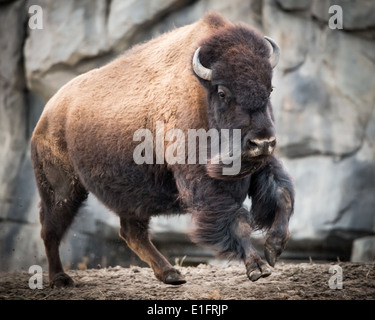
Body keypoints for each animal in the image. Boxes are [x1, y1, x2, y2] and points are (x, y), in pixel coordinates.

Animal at [31, 11, 294, 288]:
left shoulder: (263, 166)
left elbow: (283, 196)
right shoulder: (205, 183)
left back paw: (170, 273)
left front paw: (274, 248)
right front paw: (258, 268)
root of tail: (47, 113)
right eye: (222, 92)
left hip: (129, 197)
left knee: (131, 232)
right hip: (62, 190)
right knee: (51, 229)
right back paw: (60, 278)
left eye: (270, 88)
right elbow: (238, 221)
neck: (201, 93)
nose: (262, 142)